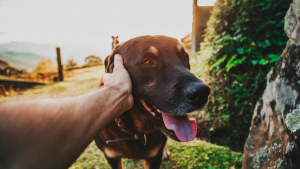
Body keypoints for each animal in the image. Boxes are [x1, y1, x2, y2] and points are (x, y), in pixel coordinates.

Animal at [95, 35, 210, 169]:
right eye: (148, 62)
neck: (136, 132)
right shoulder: (112, 157)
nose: (202, 93)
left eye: (185, 58)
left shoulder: (154, 158)